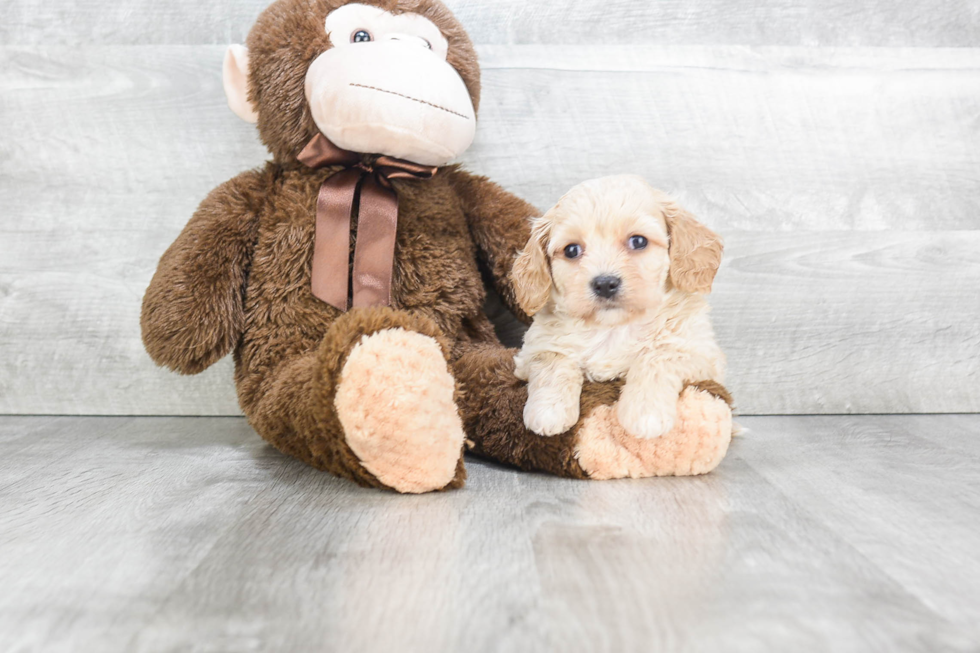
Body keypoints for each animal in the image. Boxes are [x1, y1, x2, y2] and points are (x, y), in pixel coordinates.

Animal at [512, 174, 728, 438]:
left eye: (638, 241)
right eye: (572, 250)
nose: (605, 284)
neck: (613, 328)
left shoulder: (702, 355)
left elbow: (658, 356)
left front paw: (645, 414)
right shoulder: (532, 352)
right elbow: (553, 360)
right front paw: (549, 411)